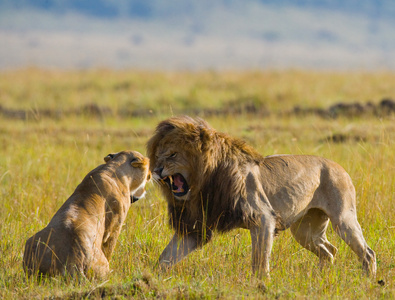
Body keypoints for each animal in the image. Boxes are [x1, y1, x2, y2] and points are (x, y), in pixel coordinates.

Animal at [23, 150, 152, 278]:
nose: (151, 174)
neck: (113, 167)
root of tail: (73, 262)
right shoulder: (114, 227)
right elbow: (109, 247)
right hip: (102, 265)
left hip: (30, 243)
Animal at [148, 116, 378, 278]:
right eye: (157, 156)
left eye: (172, 155)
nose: (156, 171)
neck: (204, 182)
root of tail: (340, 167)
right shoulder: (195, 226)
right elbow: (165, 257)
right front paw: (151, 280)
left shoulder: (263, 217)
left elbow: (259, 259)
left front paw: (261, 285)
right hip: (305, 230)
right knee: (329, 250)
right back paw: (322, 277)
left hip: (343, 218)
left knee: (367, 252)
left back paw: (367, 280)